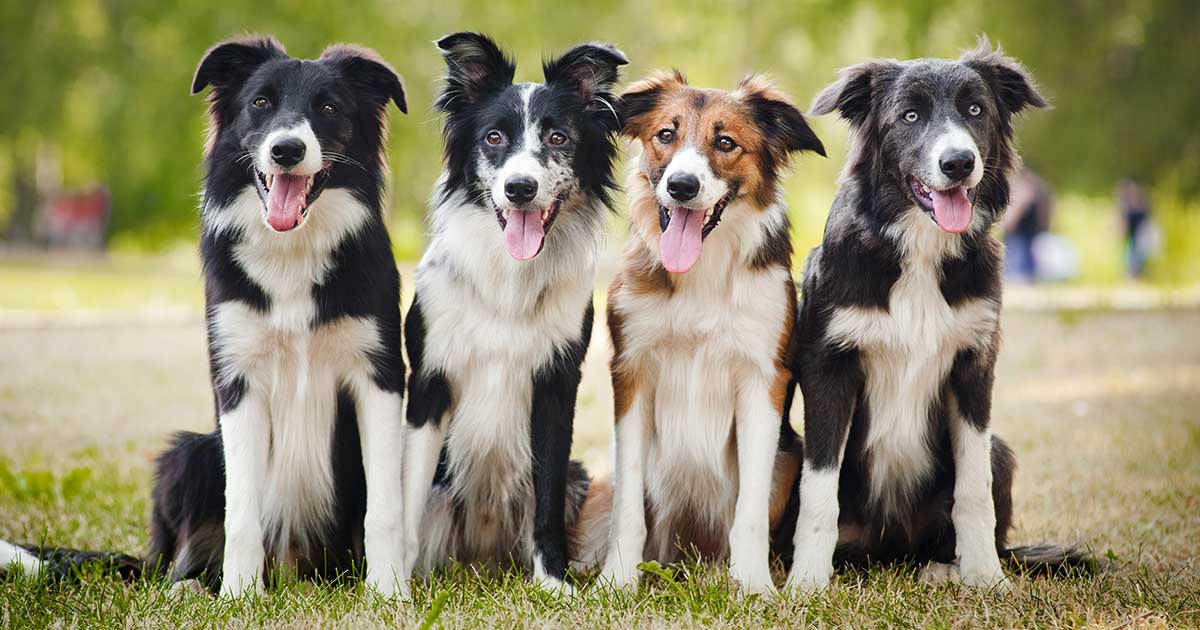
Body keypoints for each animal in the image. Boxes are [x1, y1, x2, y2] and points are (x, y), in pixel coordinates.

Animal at [148, 36, 412, 597]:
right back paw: (191, 586)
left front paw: (389, 591)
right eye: (261, 102)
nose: (286, 150)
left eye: (329, 108)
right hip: (191, 453)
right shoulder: (238, 380)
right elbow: (243, 512)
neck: (293, 250)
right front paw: (238, 596)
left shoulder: (378, 375)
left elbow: (384, 508)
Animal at [403, 31, 628, 592]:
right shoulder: (429, 383)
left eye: (558, 138)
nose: (520, 188)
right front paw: (393, 583)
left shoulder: (555, 384)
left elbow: (545, 504)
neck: (509, 277)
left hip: (578, 475)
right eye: (494, 138)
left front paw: (553, 582)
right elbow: (406, 500)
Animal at [600, 71, 825, 592]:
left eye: (725, 143)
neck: (702, 269)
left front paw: (754, 586)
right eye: (666, 134)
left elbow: (750, 512)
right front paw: (616, 580)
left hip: (790, 456)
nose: (682, 186)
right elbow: (628, 510)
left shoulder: (763, 380)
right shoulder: (631, 373)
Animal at [787, 40, 1089, 595]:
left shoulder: (974, 367)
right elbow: (820, 489)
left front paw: (986, 577)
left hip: (1000, 449)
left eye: (975, 110)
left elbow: (974, 490)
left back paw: (945, 568)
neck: (919, 249)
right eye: (909, 115)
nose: (959, 163)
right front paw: (806, 582)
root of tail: (891, 547)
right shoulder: (829, 368)